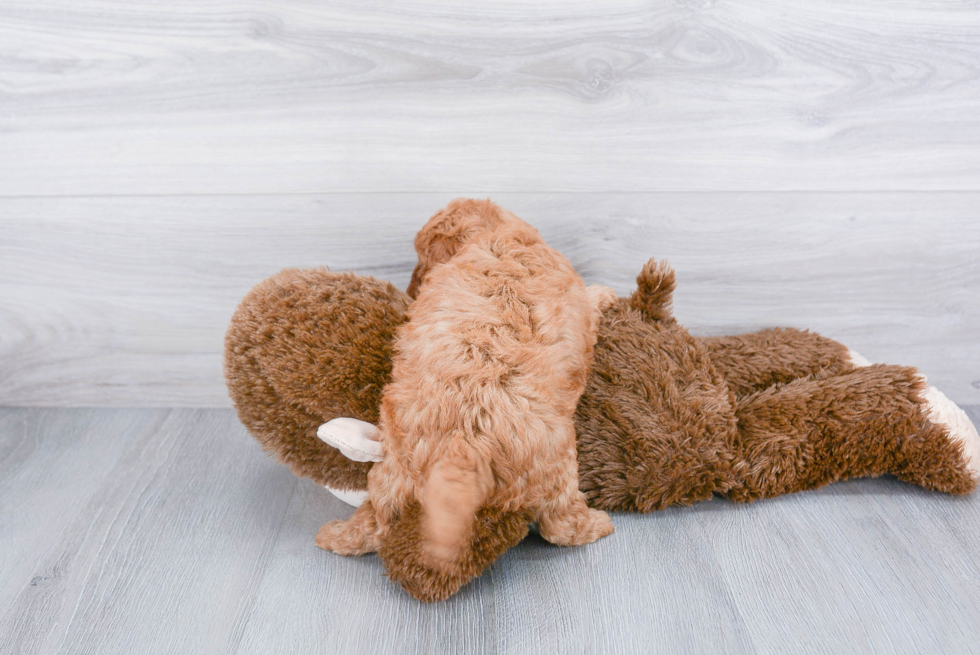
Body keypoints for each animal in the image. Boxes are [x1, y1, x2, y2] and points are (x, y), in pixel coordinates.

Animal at [318, 199, 616, 568]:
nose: (411, 288)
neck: (493, 233)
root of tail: (461, 448)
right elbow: (592, 299)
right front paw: (606, 293)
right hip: (556, 462)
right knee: (559, 525)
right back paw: (597, 524)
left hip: (391, 471)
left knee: (376, 518)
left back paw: (334, 535)